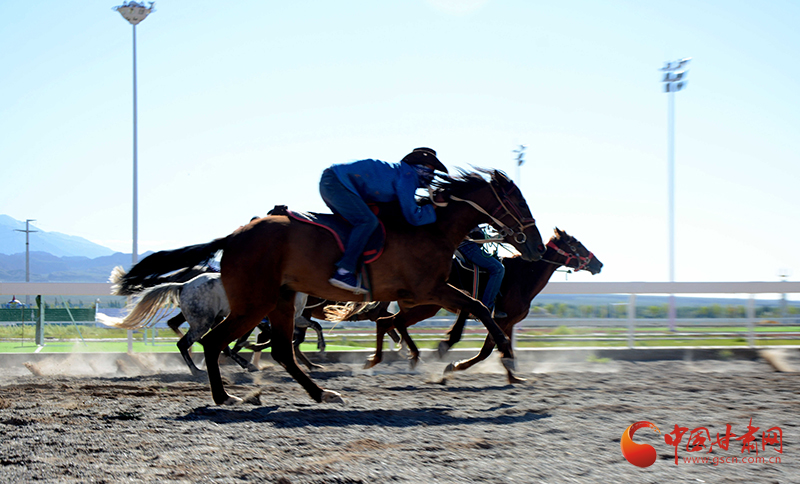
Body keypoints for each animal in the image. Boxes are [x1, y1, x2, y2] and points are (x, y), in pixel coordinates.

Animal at [114, 170, 552, 404]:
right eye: (517, 201)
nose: (535, 246)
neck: (430, 228)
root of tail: (233, 237)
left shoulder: (421, 294)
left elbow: (470, 308)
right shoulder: (426, 290)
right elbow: (477, 307)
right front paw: (495, 353)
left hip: (279, 300)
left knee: (278, 349)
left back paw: (320, 393)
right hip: (254, 302)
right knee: (213, 341)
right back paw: (225, 395)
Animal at [342, 227, 600, 382]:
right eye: (576, 245)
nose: (599, 264)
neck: (522, 276)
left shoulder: (505, 321)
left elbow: (501, 347)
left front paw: (512, 376)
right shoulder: (498, 318)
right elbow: (488, 349)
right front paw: (454, 365)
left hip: (420, 308)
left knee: (390, 322)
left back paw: (400, 357)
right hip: (426, 307)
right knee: (389, 322)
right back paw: (392, 358)